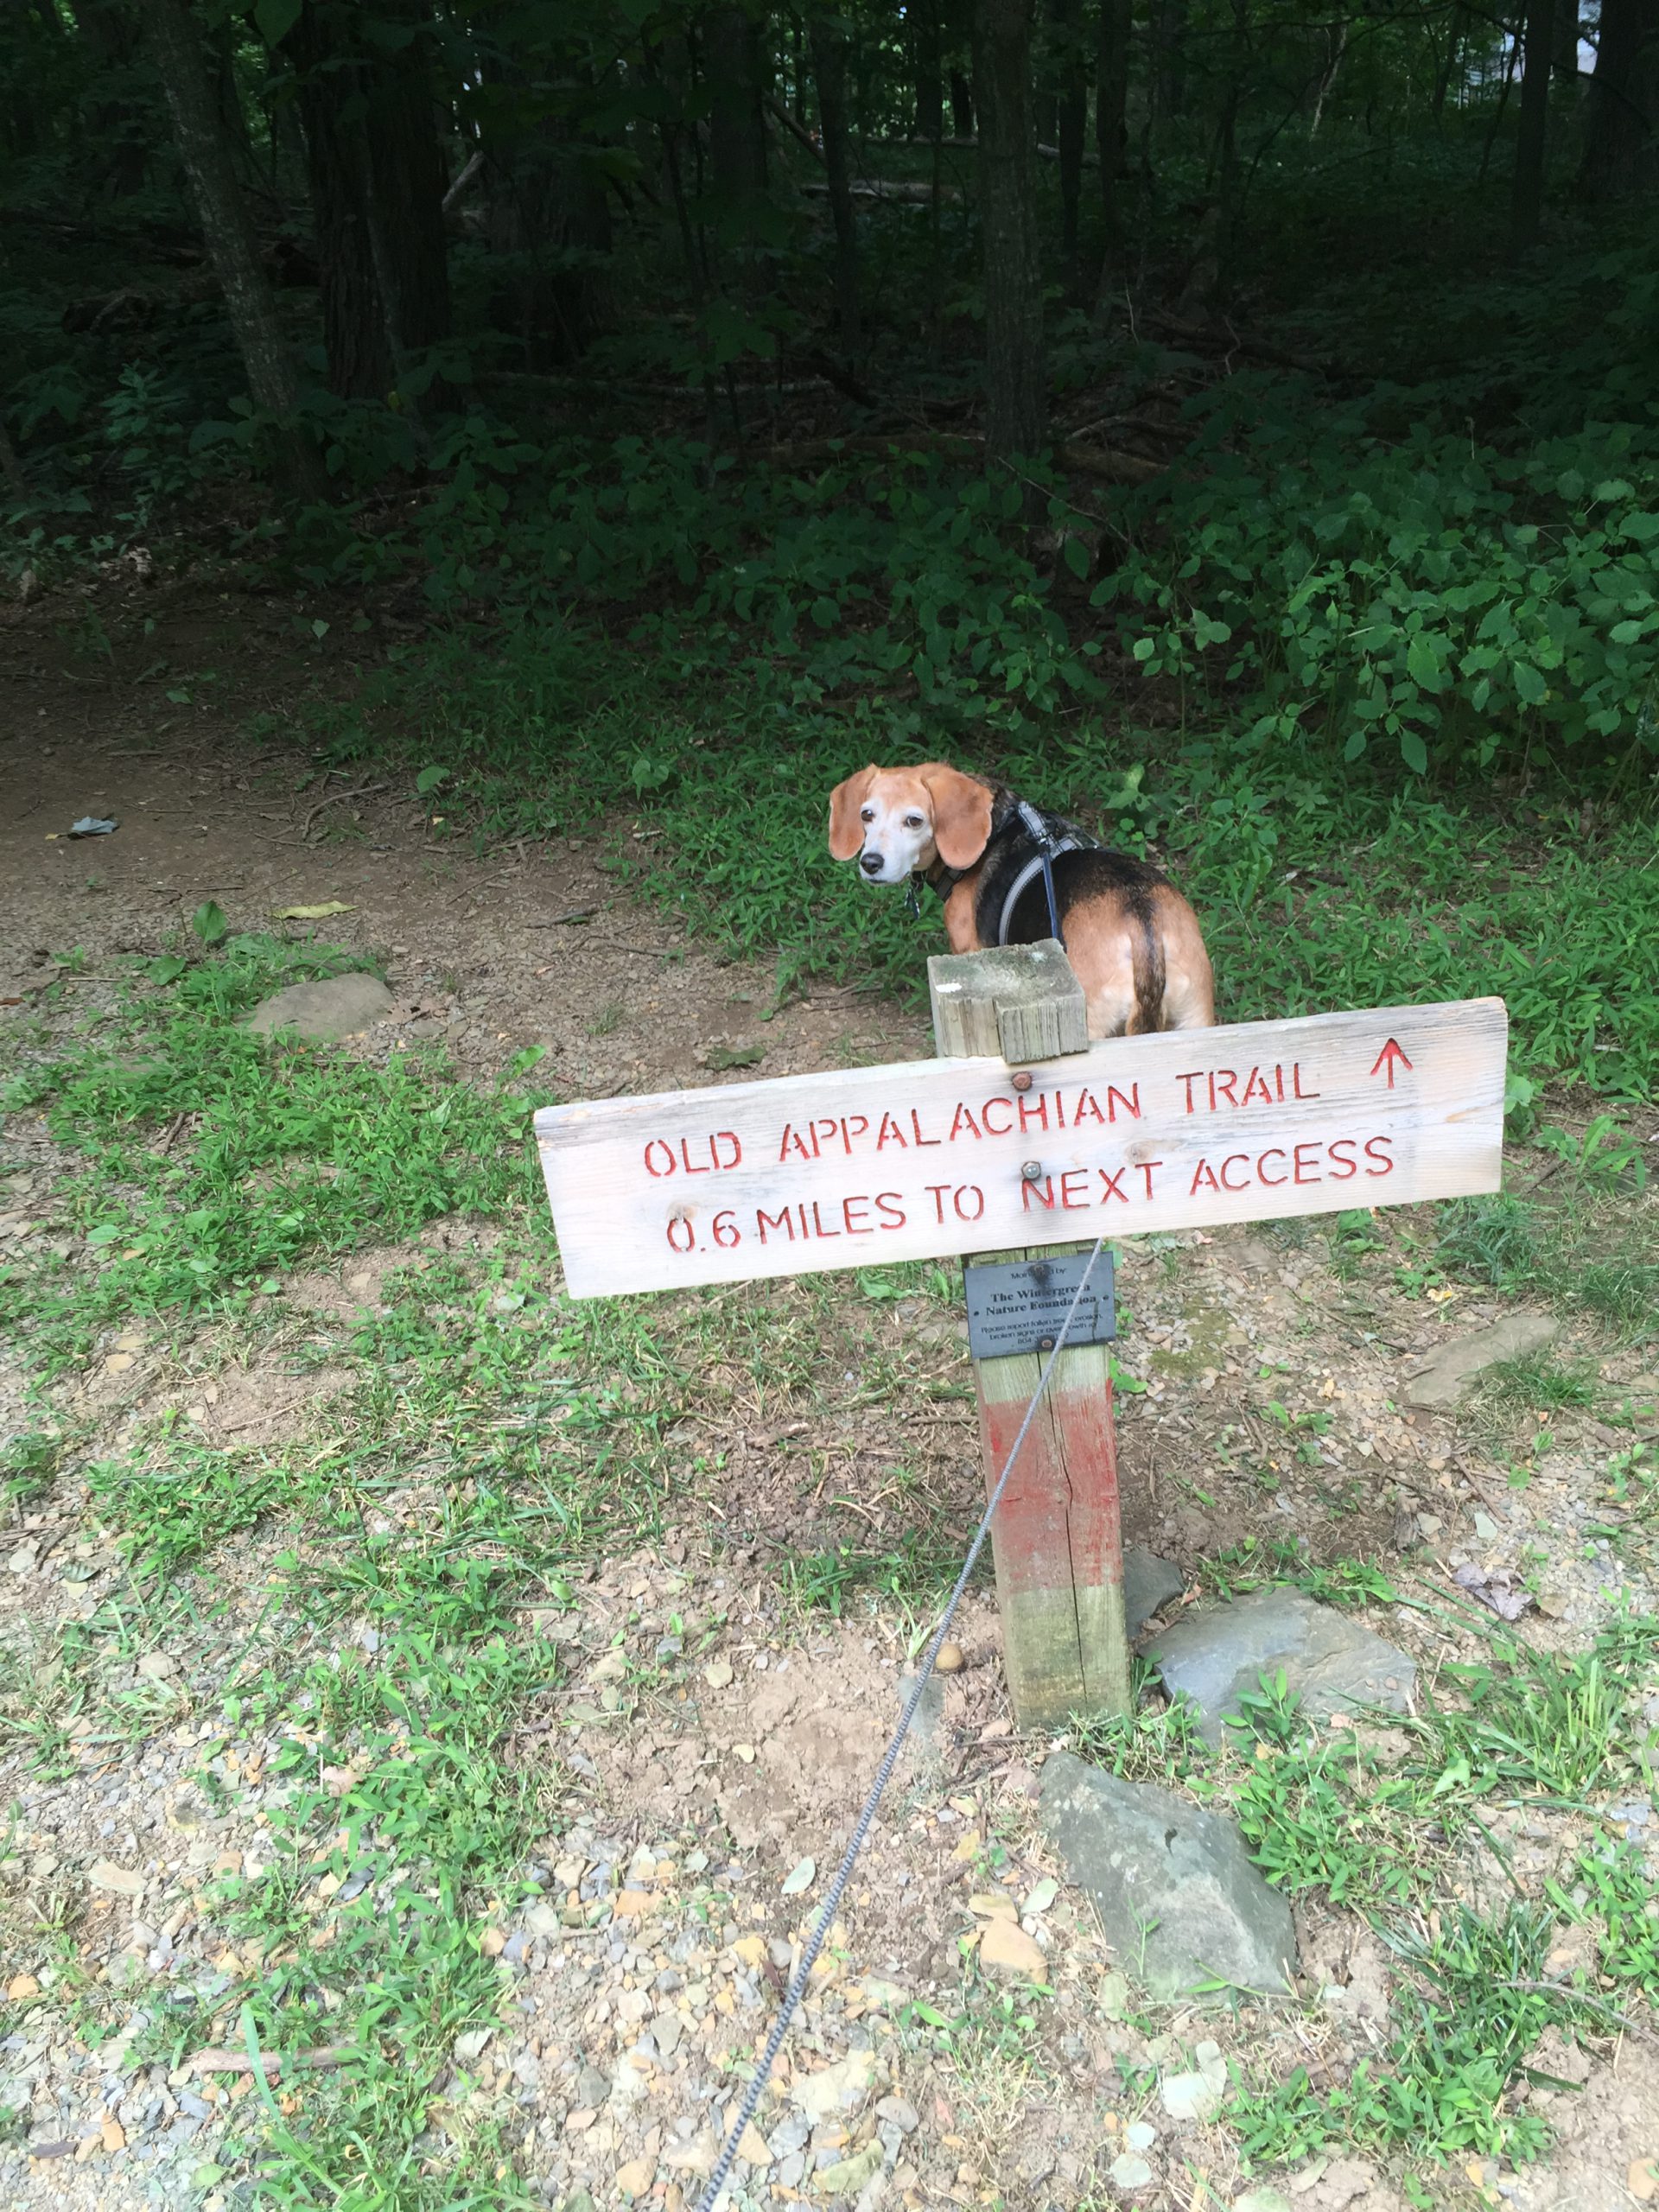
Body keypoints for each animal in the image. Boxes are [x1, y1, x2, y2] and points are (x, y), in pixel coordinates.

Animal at [836, 760, 1211, 1035]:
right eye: (866, 815)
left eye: (914, 821)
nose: (871, 863)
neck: (994, 827)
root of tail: (1142, 924)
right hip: (1196, 1017)